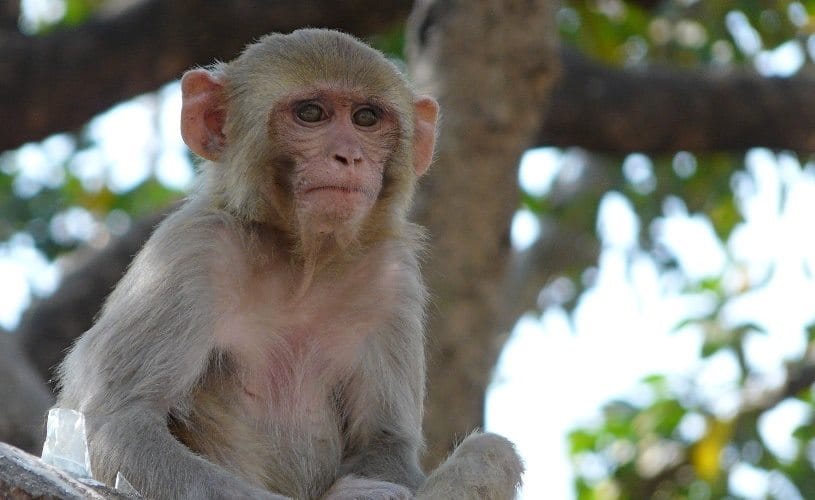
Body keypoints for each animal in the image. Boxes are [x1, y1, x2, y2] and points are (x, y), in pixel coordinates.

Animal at [56, 29, 523, 500]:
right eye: (311, 114)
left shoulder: (393, 278)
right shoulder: (190, 250)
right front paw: (352, 495)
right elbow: (121, 421)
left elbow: (384, 441)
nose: (348, 156)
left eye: (366, 118)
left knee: (491, 452)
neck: (303, 263)